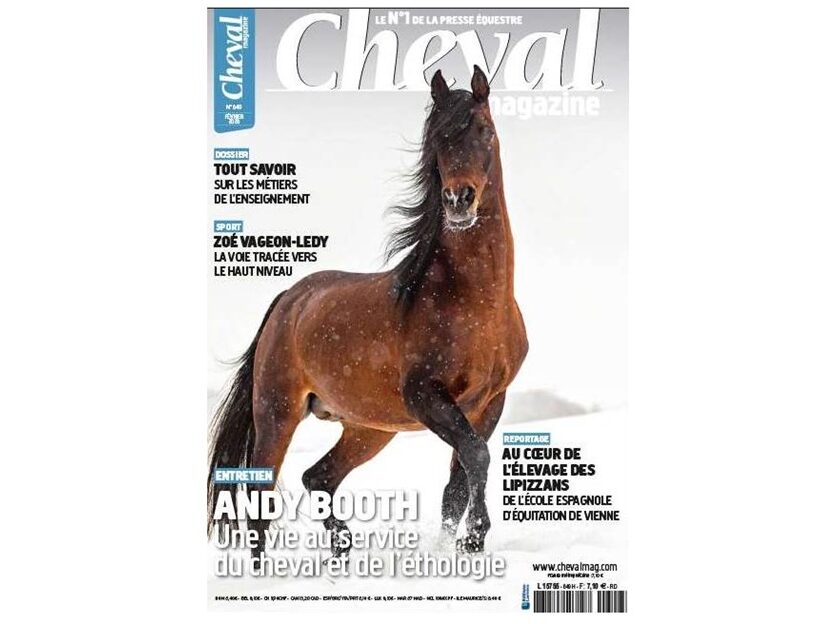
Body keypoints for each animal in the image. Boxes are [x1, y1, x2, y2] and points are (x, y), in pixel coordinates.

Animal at [207, 66, 528, 561]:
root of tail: (288, 299)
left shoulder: (489, 402)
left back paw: (343, 547)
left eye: (485, 132)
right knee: (262, 501)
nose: (459, 200)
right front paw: (475, 534)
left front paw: (460, 546)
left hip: (369, 428)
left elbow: (459, 481)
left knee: (319, 477)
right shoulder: (426, 396)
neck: (479, 305)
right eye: (438, 138)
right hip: (277, 414)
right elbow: (477, 457)